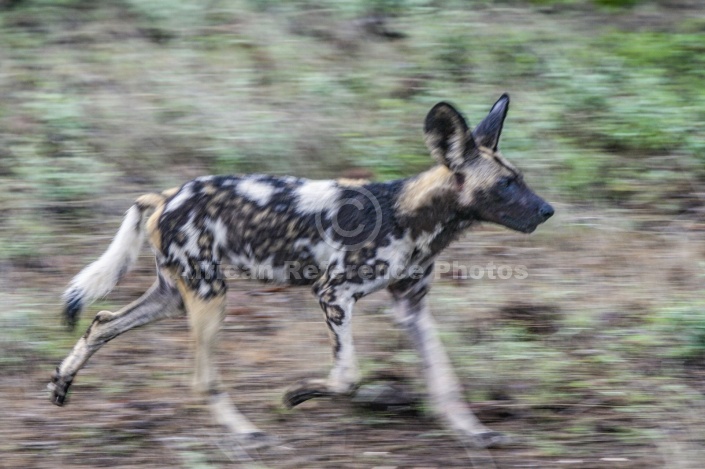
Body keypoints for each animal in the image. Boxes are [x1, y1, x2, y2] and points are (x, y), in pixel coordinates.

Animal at [51, 94, 556, 446]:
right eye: (506, 185)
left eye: (520, 179)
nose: (548, 211)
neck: (411, 216)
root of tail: (165, 195)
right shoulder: (334, 295)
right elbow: (348, 377)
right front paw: (294, 396)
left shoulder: (411, 308)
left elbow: (445, 380)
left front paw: (473, 432)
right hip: (210, 297)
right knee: (201, 379)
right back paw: (245, 433)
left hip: (174, 296)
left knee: (101, 323)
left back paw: (61, 383)